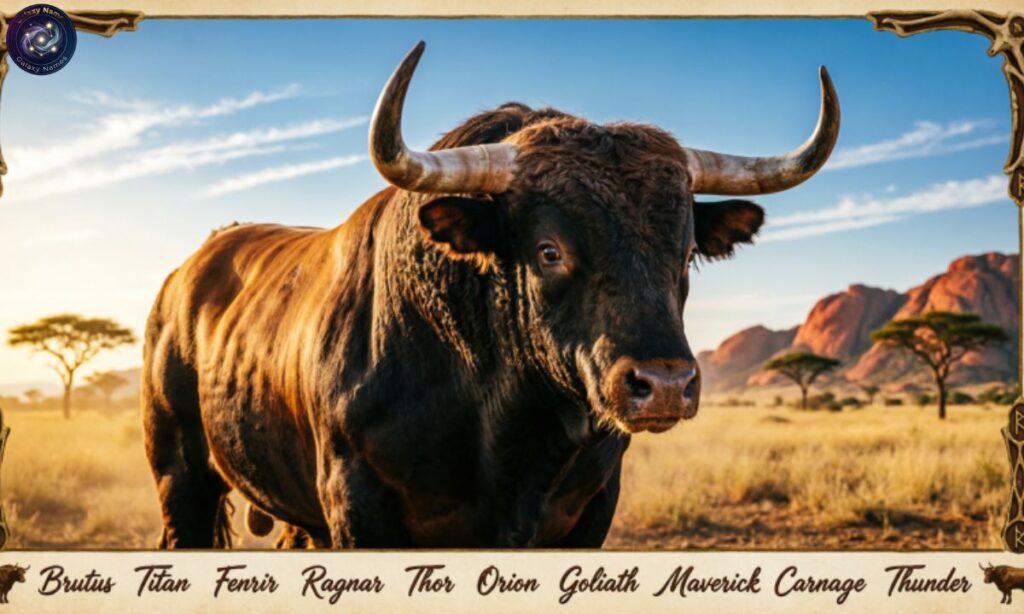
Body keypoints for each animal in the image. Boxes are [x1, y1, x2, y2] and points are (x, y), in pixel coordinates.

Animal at [142, 41, 839, 549]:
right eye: (549, 250)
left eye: (686, 250)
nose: (664, 384)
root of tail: (187, 272)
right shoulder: (357, 507)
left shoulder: (588, 512)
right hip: (180, 477)